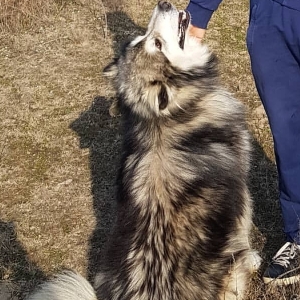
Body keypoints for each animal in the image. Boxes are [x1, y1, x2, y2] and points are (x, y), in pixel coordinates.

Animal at [27, 1, 260, 298]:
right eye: (157, 43)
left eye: (146, 40)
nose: (164, 4)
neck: (164, 118)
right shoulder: (241, 190)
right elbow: (244, 224)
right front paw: (253, 257)